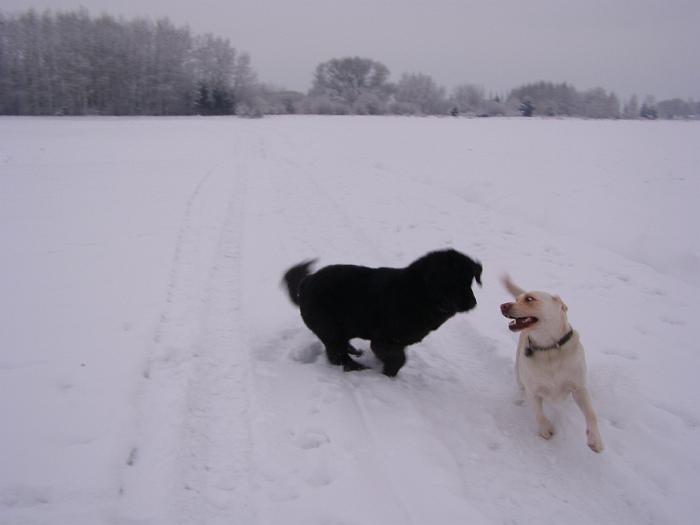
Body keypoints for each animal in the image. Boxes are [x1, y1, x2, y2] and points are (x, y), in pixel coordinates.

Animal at [283, 249, 482, 376]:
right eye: (454, 282)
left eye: (471, 281)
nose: (472, 303)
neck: (420, 293)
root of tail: (305, 283)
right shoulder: (384, 340)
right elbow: (399, 359)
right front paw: (388, 375)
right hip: (330, 328)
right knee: (336, 355)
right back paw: (356, 367)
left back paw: (354, 352)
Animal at [500, 275, 603, 453]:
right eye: (517, 299)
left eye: (529, 299)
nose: (503, 306)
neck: (548, 348)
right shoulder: (533, 390)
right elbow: (538, 413)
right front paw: (545, 429)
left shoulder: (579, 388)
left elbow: (591, 414)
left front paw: (595, 439)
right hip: (518, 373)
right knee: (521, 387)